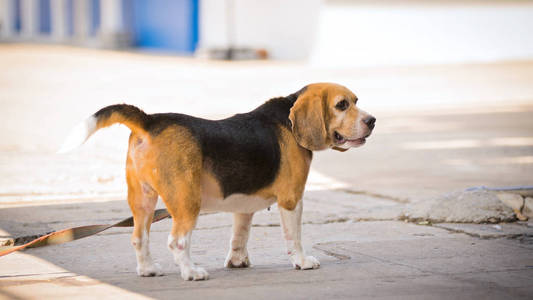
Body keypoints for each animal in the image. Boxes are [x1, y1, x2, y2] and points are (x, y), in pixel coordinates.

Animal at [59, 82, 374, 282]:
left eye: (357, 101)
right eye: (342, 105)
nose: (372, 121)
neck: (288, 117)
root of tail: (149, 121)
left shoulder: (244, 207)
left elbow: (239, 236)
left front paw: (237, 262)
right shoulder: (291, 200)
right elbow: (294, 237)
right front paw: (302, 262)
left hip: (143, 201)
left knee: (139, 237)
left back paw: (148, 269)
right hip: (188, 202)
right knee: (177, 241)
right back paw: (191, 273)